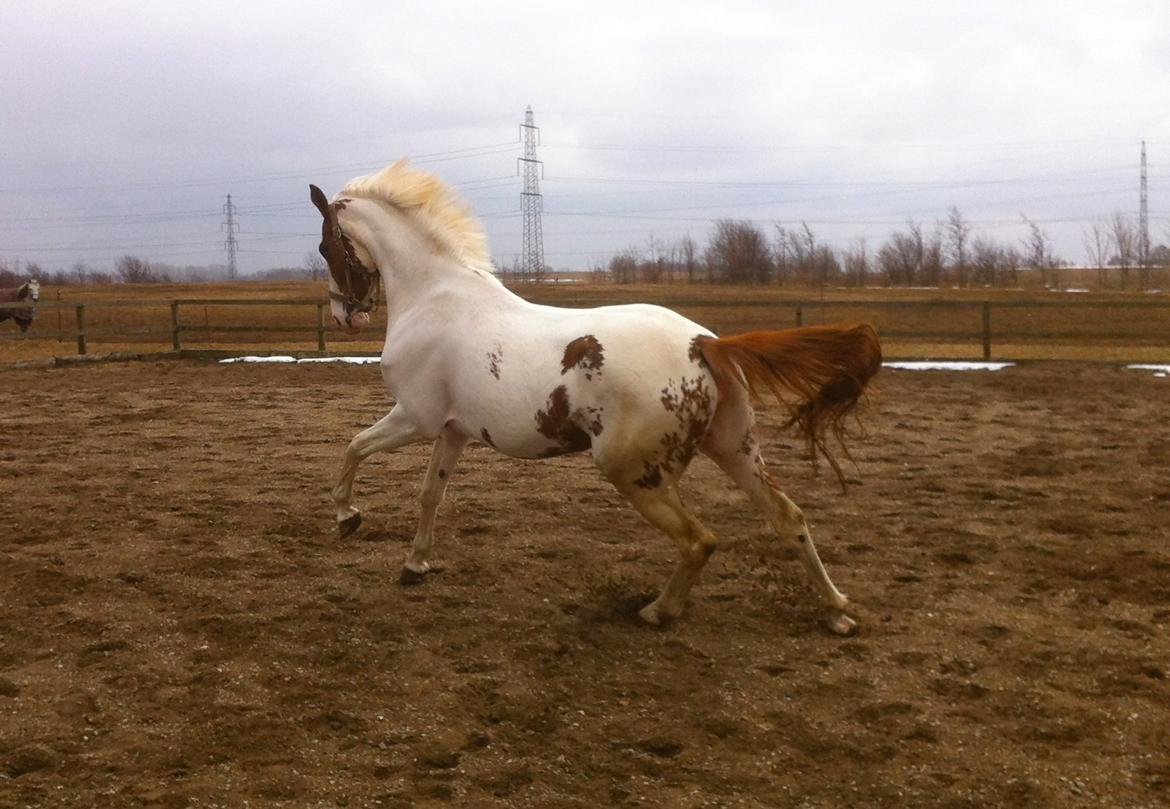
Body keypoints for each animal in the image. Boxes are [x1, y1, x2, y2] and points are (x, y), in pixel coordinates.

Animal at [308, 161, 879, 636]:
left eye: (325, 249)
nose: (344, 316)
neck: (434, 297)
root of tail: (703, 344)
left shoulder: (415, 418)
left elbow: (353, 447)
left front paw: (347, 517)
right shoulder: (453, 431)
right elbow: (430, 494)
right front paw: (415, 565)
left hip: (633, 471)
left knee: (701, 540)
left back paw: (657, 611)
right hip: (734, 448)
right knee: (789, 519)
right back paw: (838, 612)